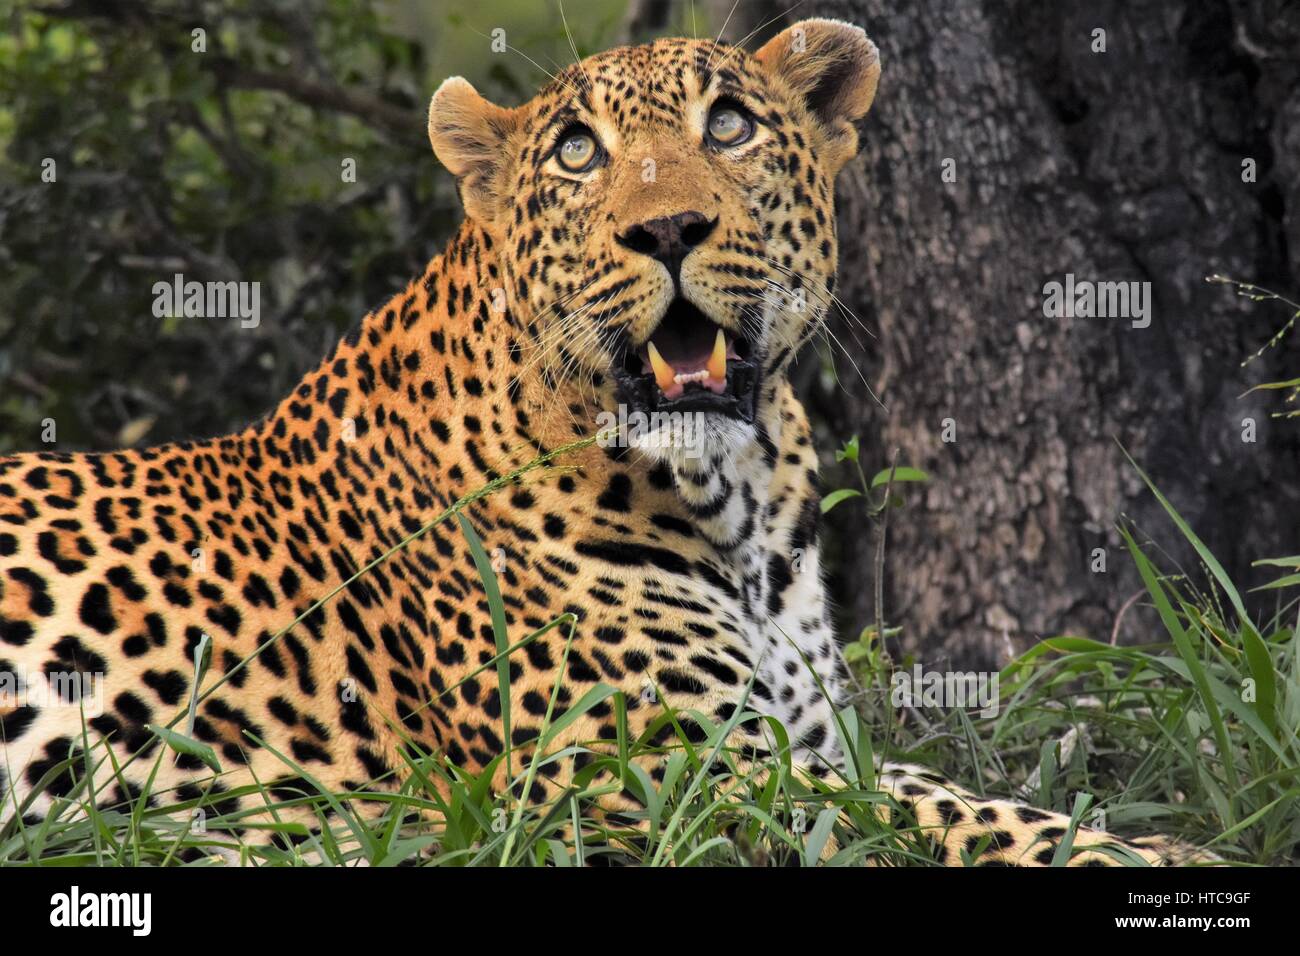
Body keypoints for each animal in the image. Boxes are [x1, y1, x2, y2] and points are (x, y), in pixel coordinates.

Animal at [5, 20, 1211, 868]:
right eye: (579, 153)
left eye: (729, 125)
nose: (667, 228)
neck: (737, 500)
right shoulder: (670, 776)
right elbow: (956, 815)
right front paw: (1149, 853)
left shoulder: (802, 739)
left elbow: (946, 793)